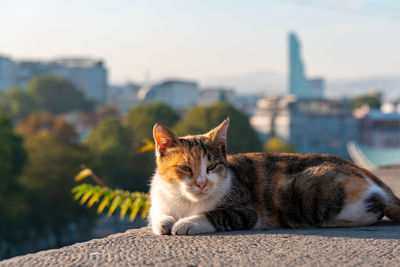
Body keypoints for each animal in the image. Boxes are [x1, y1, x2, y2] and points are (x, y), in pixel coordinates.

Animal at [148, 118, 400, 236]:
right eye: (186, 168)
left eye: (212, 167)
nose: (201, 184)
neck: (187, 202)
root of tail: (355, 166)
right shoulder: (159, 200)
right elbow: (158, 216)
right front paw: (165, 222)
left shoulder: (245, 210)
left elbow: (216, 215)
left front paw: (187, 223)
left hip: (306, 188)